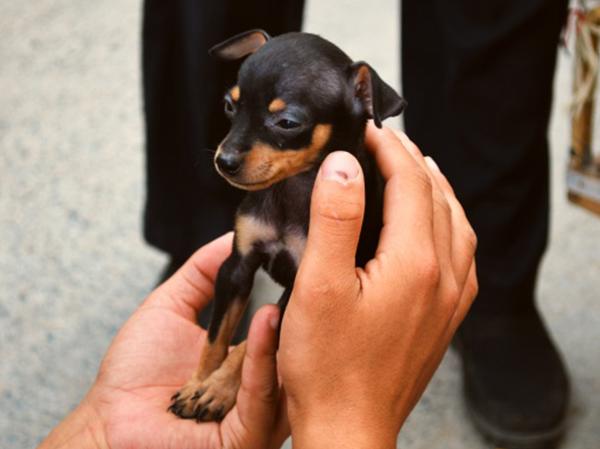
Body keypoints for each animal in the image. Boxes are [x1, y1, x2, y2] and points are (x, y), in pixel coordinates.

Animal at [169, 28, 406, 420]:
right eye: (229, 106)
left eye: (288, 123)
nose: (224, 161)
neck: (292, 190)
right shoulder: (235, 268)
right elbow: (216, 336)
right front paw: (198, 382)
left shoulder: (300, 290)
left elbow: (248, 346)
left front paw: (217, 389)